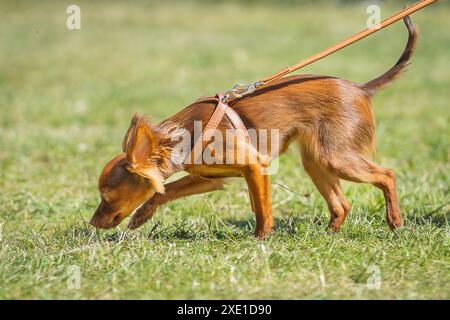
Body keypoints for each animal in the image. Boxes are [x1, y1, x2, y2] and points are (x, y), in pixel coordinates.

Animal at [90, 16, 418, 238]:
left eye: (106, 197)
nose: (92, 222)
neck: (186, 137)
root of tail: (360, 88)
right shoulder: (207, 178)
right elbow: (165, 190)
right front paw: (142, 216)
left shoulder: (255, 167)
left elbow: (261, 209)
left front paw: (260, 238)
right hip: (315, 161)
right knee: (342, 204)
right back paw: (330, 234)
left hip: (335, 157)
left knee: (387, 175)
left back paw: (395, 221)